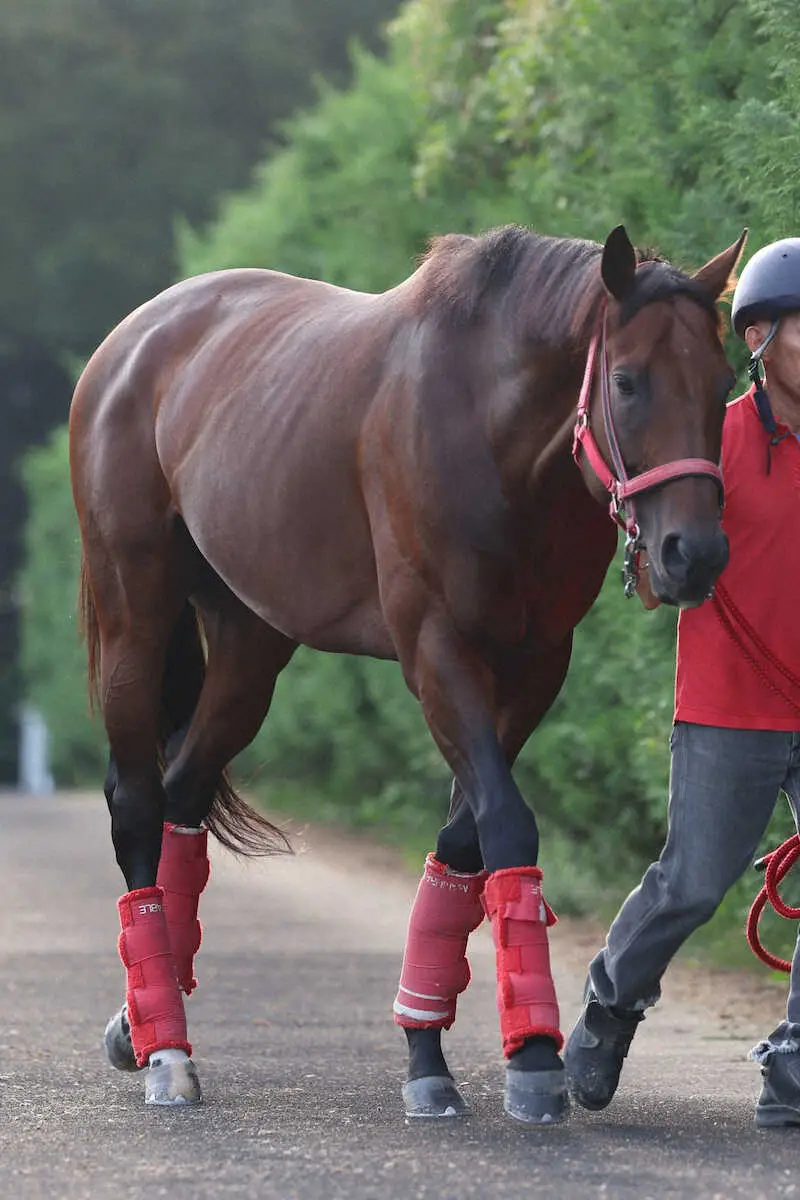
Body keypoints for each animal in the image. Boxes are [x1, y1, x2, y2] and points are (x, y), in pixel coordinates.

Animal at [68, 220, 743, 1118]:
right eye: (628, 382)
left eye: (723, 381)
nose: (692, 554)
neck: (490, 429)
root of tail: (132, 340)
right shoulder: (436, 649)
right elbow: (505, 823)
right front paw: (532, 1059)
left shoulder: (535, 664)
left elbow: (464, 840)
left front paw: (433, 1051)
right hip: (134, 616)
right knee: (140, 805)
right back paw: (167, 1052)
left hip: (249, 646)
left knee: (184, 790)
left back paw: (139, 1022)